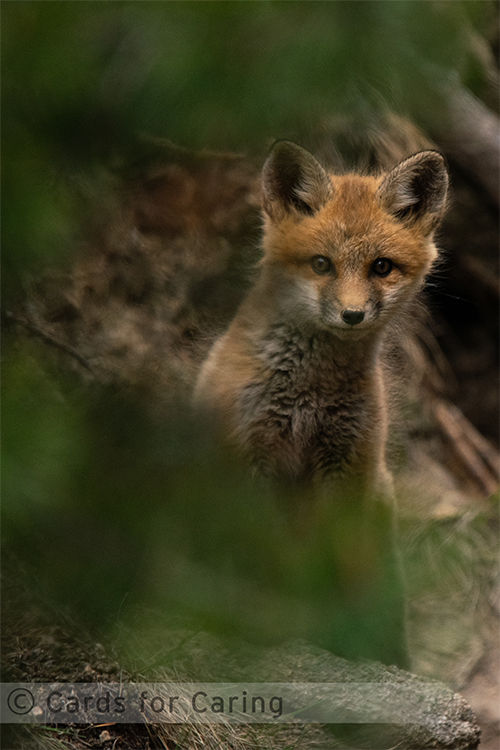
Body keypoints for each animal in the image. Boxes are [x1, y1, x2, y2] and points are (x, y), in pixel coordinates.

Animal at [194, 141, 448, 494]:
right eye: (321, 264)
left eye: (382, 267)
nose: (353, 315)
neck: (312, 392)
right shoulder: (246, 449)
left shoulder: (348, 458)